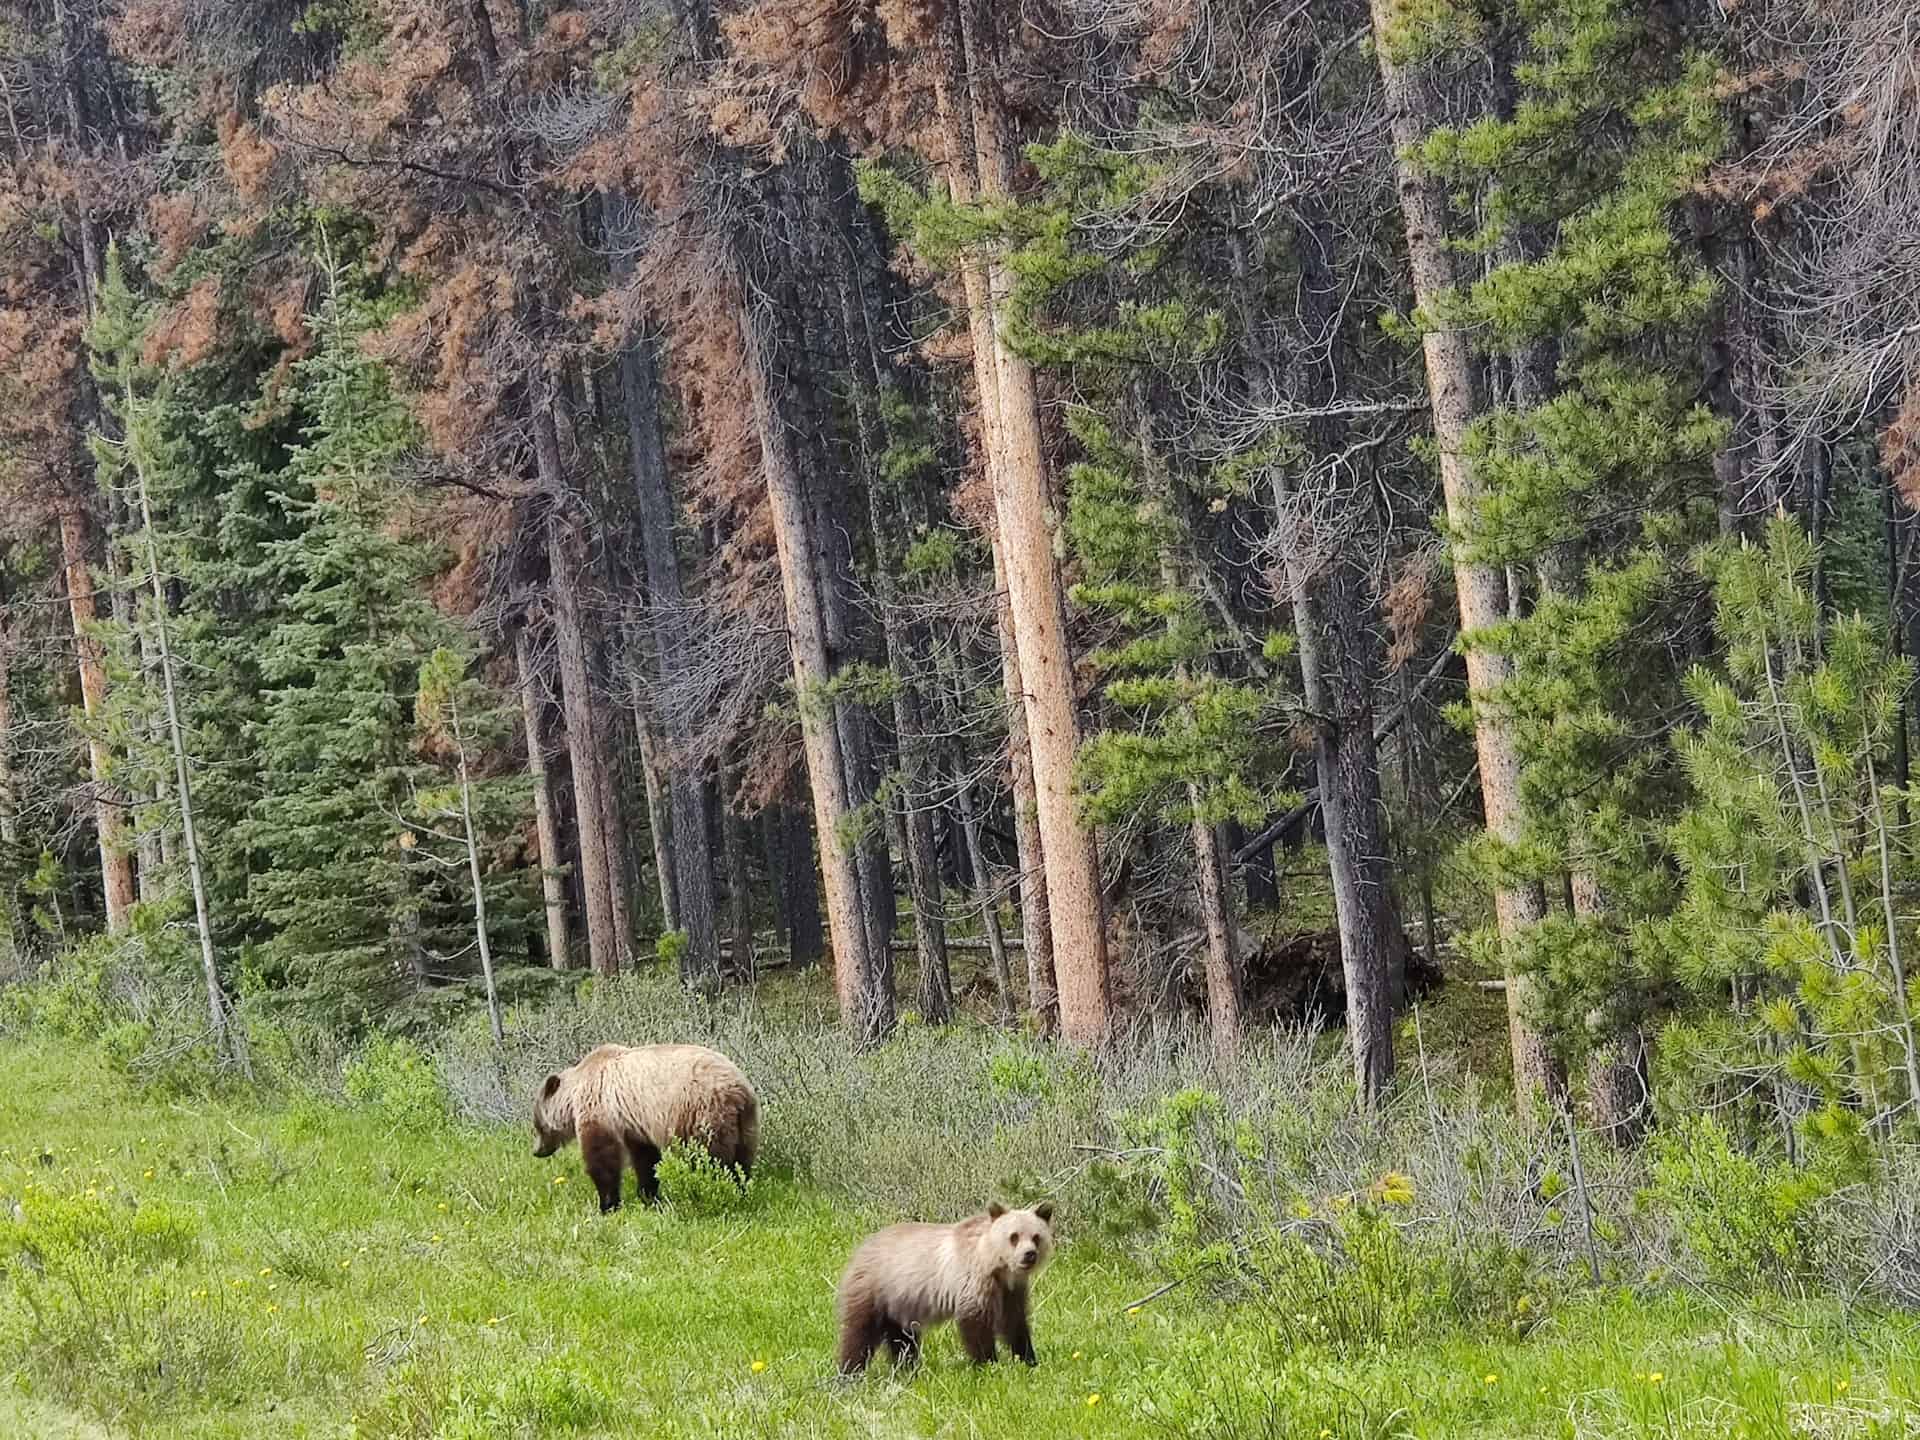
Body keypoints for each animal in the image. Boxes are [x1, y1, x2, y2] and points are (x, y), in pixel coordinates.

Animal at [531, 1043, 758, 1213]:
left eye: (537, 1125)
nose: (537, 1151)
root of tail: (737, 1091)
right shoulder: (635, 1122)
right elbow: (645, 1158)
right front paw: (648, 1195)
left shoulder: (600, 1108)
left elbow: (602, 1158)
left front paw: (607, 1205)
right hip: (746, 1123)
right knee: (742, 1159)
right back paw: (741, 1190)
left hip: (700, 1112)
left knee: (711, 1157)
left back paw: (715, 1190)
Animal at [835, 1201, 1055, 1374]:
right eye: (1014, 1236)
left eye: (1036, 1236)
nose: (1029, 1254)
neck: (995, 1265)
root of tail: (862, 1247)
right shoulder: (972, 1280)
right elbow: (975, 1323)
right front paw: (987, 1364)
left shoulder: (1011, 1290)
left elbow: (1015, 1322)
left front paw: (1028, 1360)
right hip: (875, 1288)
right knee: (859, 1333)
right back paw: (850, 1372)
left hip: (899, 1302)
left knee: (902, 1338)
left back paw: (907, 1368)